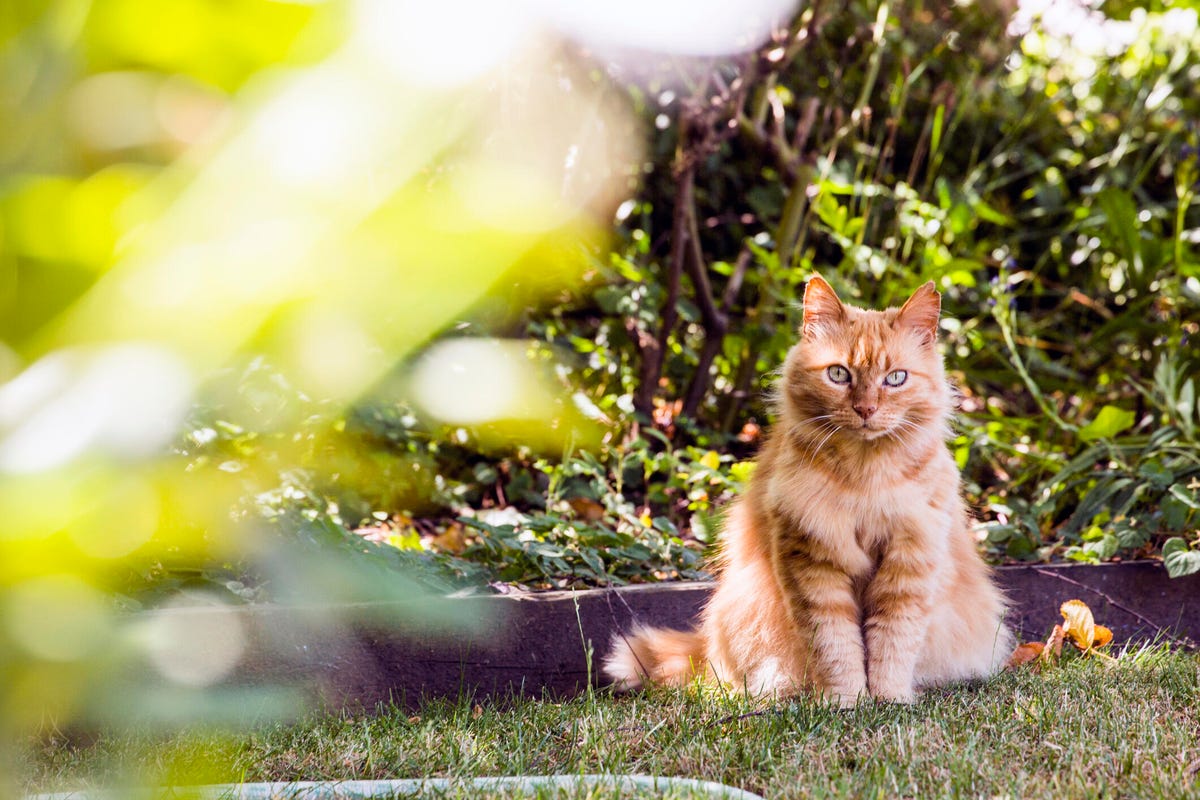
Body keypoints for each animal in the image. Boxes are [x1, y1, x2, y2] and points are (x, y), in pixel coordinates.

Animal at [604, 275, 1008, 705]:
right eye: (839, 375)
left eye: (895, 378)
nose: (866, 409)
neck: (865, 479)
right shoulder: (812, 562)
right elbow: (837, 647)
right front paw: (848, 702)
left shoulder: (909, 563)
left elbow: (892, 643)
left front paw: (888, 700)